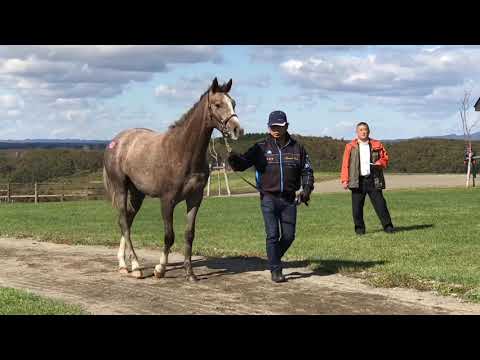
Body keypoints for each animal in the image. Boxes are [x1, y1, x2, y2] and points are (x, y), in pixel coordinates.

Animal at [102, 78, 242, 282]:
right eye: (217, 104)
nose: (237, 129)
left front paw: (190, 273)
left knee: (126, 219)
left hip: (137, 194)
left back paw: (123, 264)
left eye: (233, 103)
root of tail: (116, 141)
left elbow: (189, 234)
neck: (182, 151)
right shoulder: (167, 201)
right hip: (121, 189)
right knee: (124, 224)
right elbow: (169, 235)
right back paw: (135, 267)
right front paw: (160, 269)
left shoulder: (195, 199)